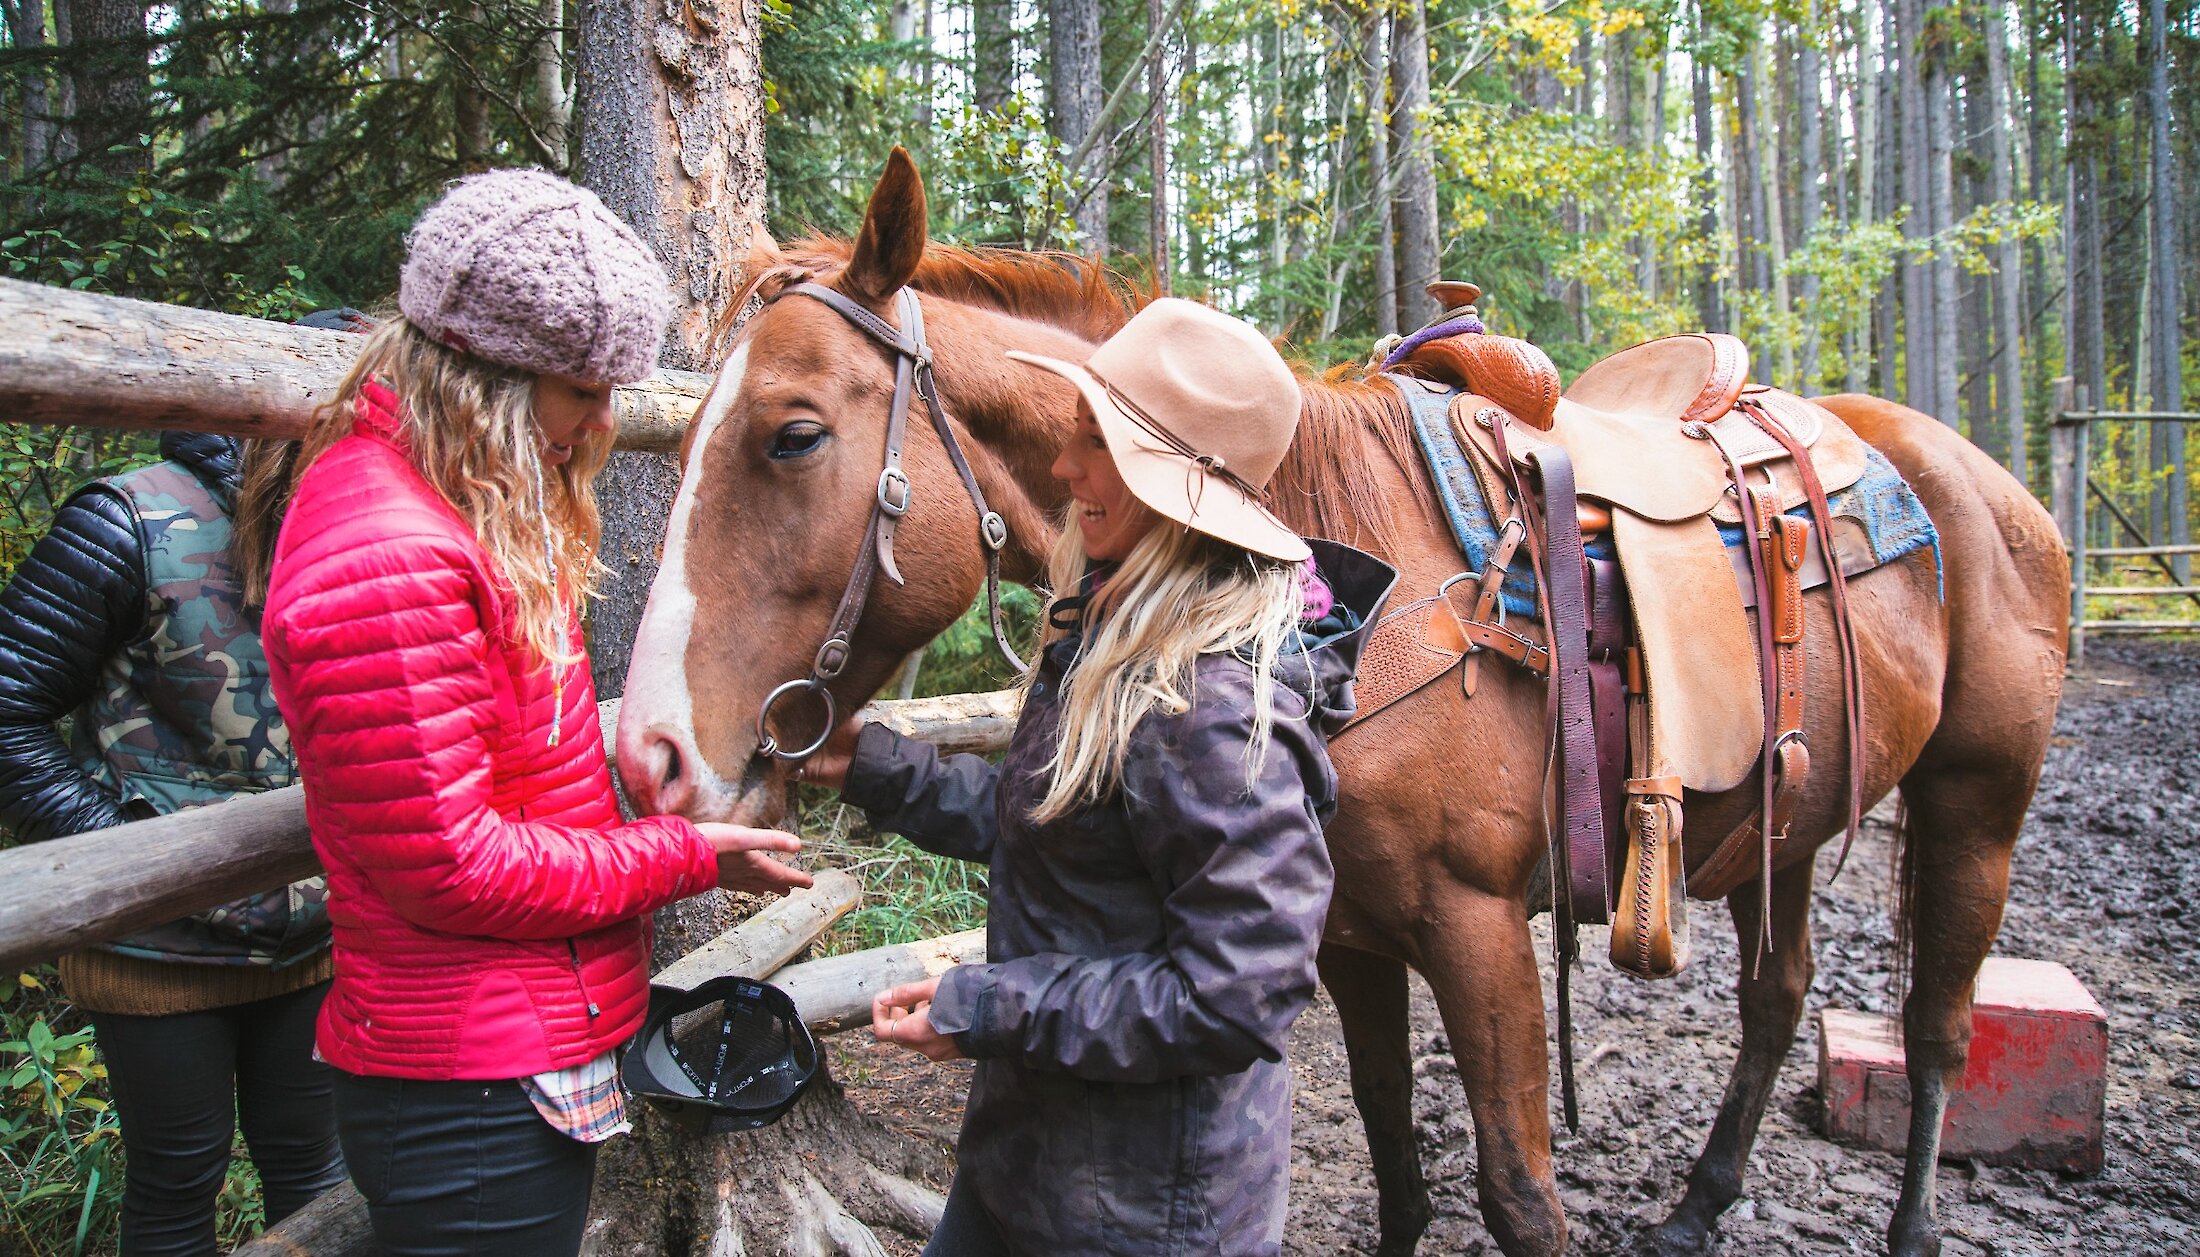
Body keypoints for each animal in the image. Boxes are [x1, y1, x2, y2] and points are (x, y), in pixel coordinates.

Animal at [620, 149, 2076, 1257]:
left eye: (794, 434)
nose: (654, 755)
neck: (1331, 596)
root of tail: (1966, 473)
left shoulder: (1477, 929)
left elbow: (1518, 1192)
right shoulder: (1348, 935)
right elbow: (1389, 1141)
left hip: (1978, 803)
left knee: (1939, 1030)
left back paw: (1909, 1224)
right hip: (1782, 820)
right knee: (1778, 997)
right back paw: (1698, 1206)